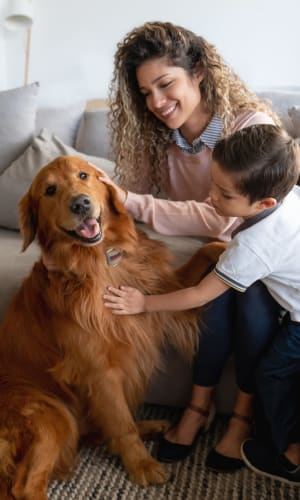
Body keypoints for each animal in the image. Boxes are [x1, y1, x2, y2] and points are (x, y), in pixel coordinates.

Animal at [0, 155, 225, 496]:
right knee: (25, 486)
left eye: (83, 175)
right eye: (49, 190)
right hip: (52, 414)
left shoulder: (162, 289)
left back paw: (153, 425)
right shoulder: (99, 370)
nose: (80, 203)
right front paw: (141, 464)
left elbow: (205, 252)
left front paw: (234, 247)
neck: (100, 261)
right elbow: (121, 423)